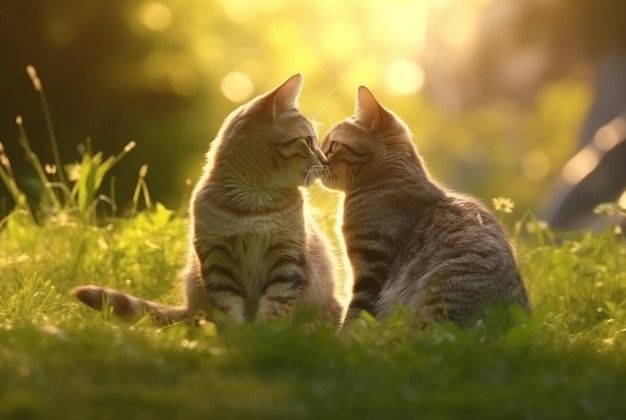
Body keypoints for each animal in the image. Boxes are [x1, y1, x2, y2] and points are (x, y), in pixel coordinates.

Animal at [75, 74, 344, 324]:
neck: (254, 204)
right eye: (308, 141)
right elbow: (228, 310)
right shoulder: (217, 261)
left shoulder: (287, 261)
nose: (325, 162)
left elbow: (273, 308)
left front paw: (262, 336)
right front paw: (236, 337)